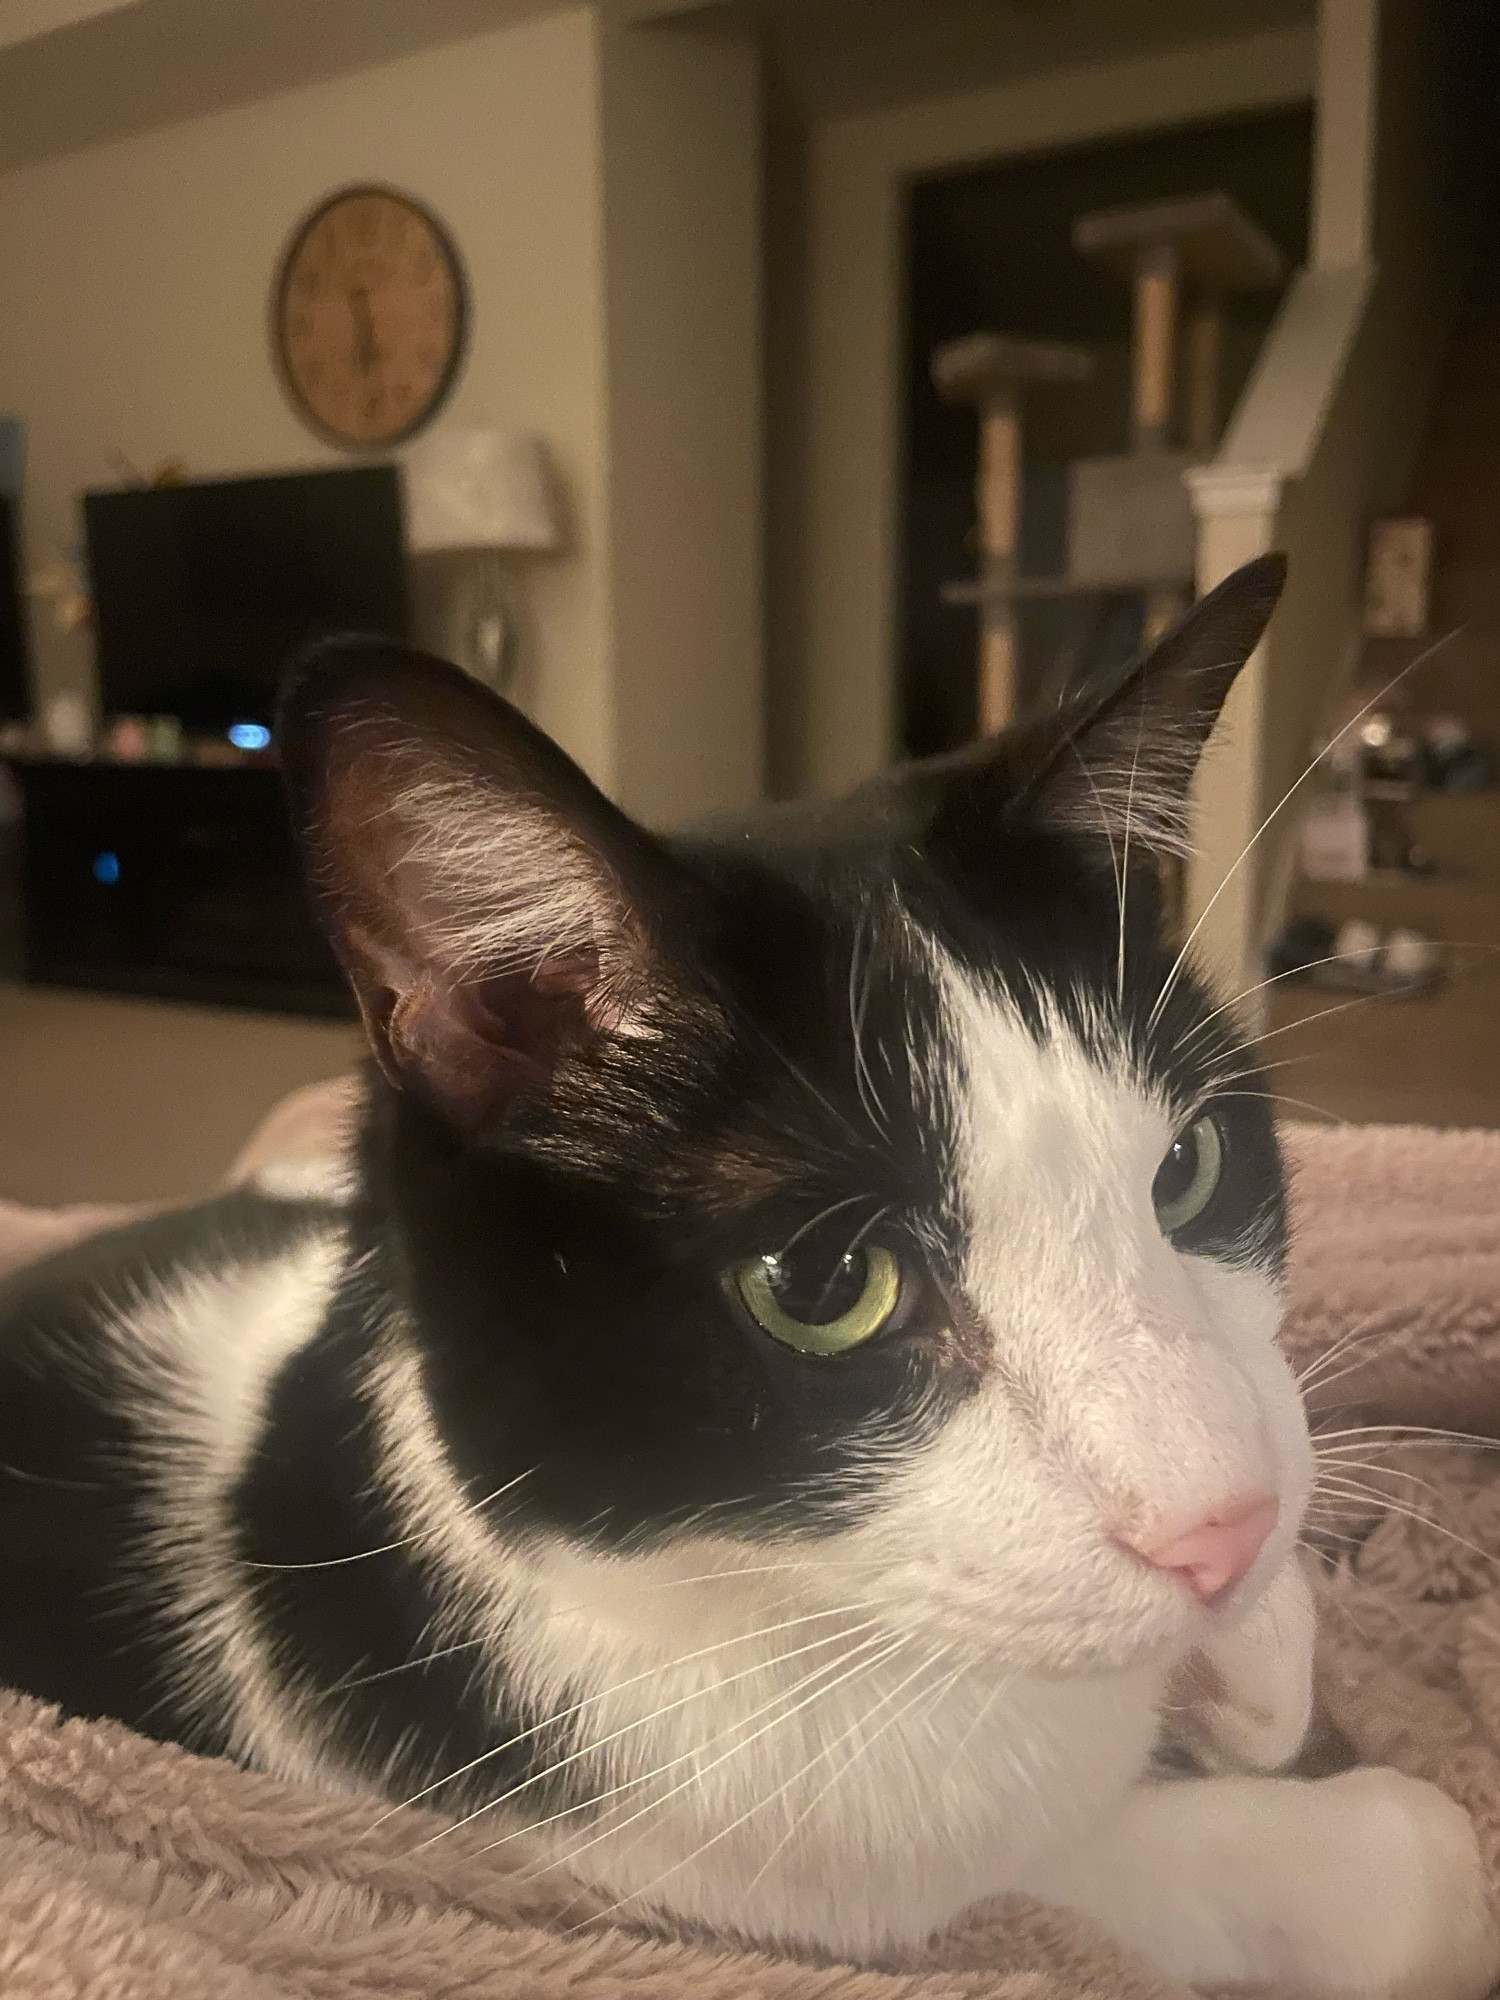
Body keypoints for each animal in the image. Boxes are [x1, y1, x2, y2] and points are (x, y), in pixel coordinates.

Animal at [2, 552, 1500, 2000]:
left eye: (1188, 1166)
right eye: (831, 1284)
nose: (1220, 1526)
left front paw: (1246, 1646)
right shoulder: (760, 1865)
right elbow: (1290, 1864)